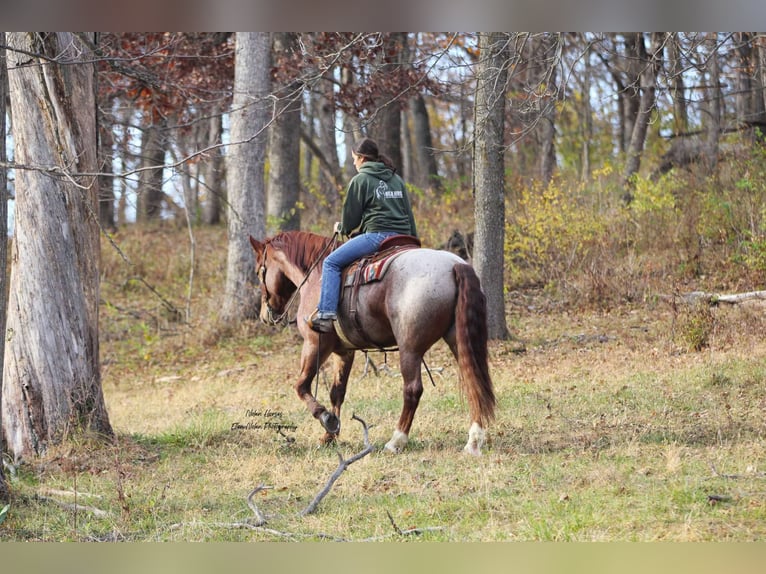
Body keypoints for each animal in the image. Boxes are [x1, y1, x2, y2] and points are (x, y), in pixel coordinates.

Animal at [249, 232, 496, 456]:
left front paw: (327, 419)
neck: (316, 274)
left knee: (412, 390)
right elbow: (337, 392)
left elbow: (301, 386)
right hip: (458, 340)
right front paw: (330, 436)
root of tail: (454, 265)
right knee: (473, 380)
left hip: (410, 348)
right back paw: (474, 441)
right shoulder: (344, 352)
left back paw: (396, 441)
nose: (265, 315)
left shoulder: (315, 344)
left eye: (259, 271)